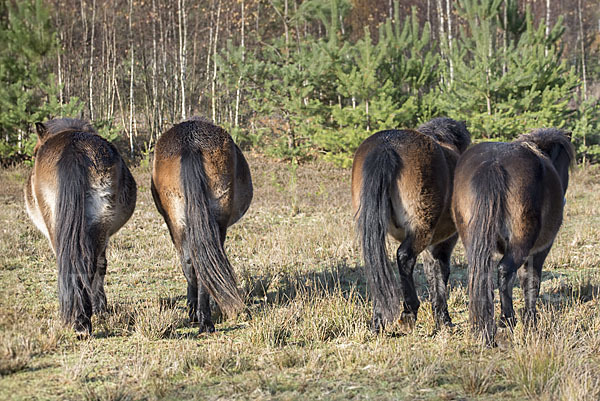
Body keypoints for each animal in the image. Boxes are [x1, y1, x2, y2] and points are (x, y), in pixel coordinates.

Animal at [352, 117, 474, 330]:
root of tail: (387, 146)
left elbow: (432, 274)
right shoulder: (443, 243)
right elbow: (441, 273)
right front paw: (444, 318)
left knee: (376, 264)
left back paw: (378, 319)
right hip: (420, 230)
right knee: (404, 257)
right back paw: (408, 312)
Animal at [452, 128, 576, 344]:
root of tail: (493, 163)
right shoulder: (539, 251)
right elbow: (531, 281)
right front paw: (530, 319)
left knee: (482, 275)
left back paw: (482, 324)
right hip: (521, 243)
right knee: (504, 270)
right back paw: (506, 319)